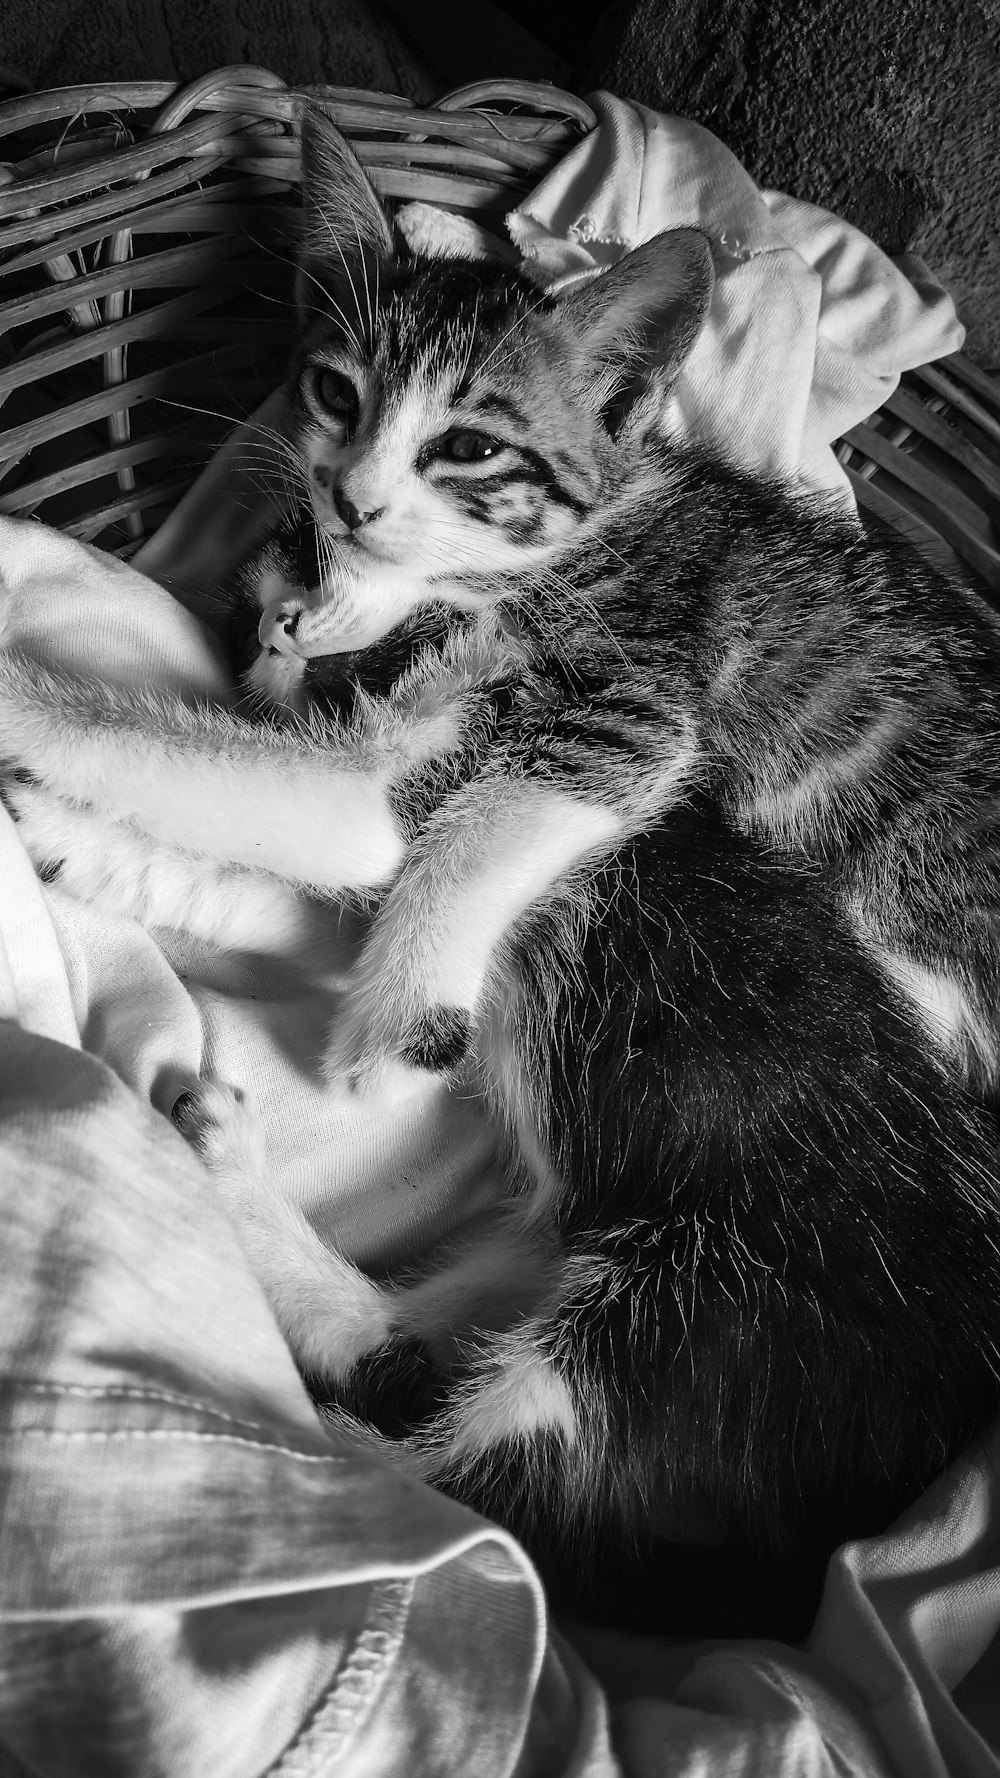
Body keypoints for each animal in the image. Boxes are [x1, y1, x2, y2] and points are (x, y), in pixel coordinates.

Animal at [5, 107, 996, 1635]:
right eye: (268, 586)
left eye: (461, 451)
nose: (300, 600)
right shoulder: (375, 848)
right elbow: (270, 877)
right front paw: (79, 843)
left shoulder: (430, 775)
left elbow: (201, 759)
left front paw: (30, 713)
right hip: (544, 1245)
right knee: (414, 1350)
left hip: (683, 1321)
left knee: (476, 1488)